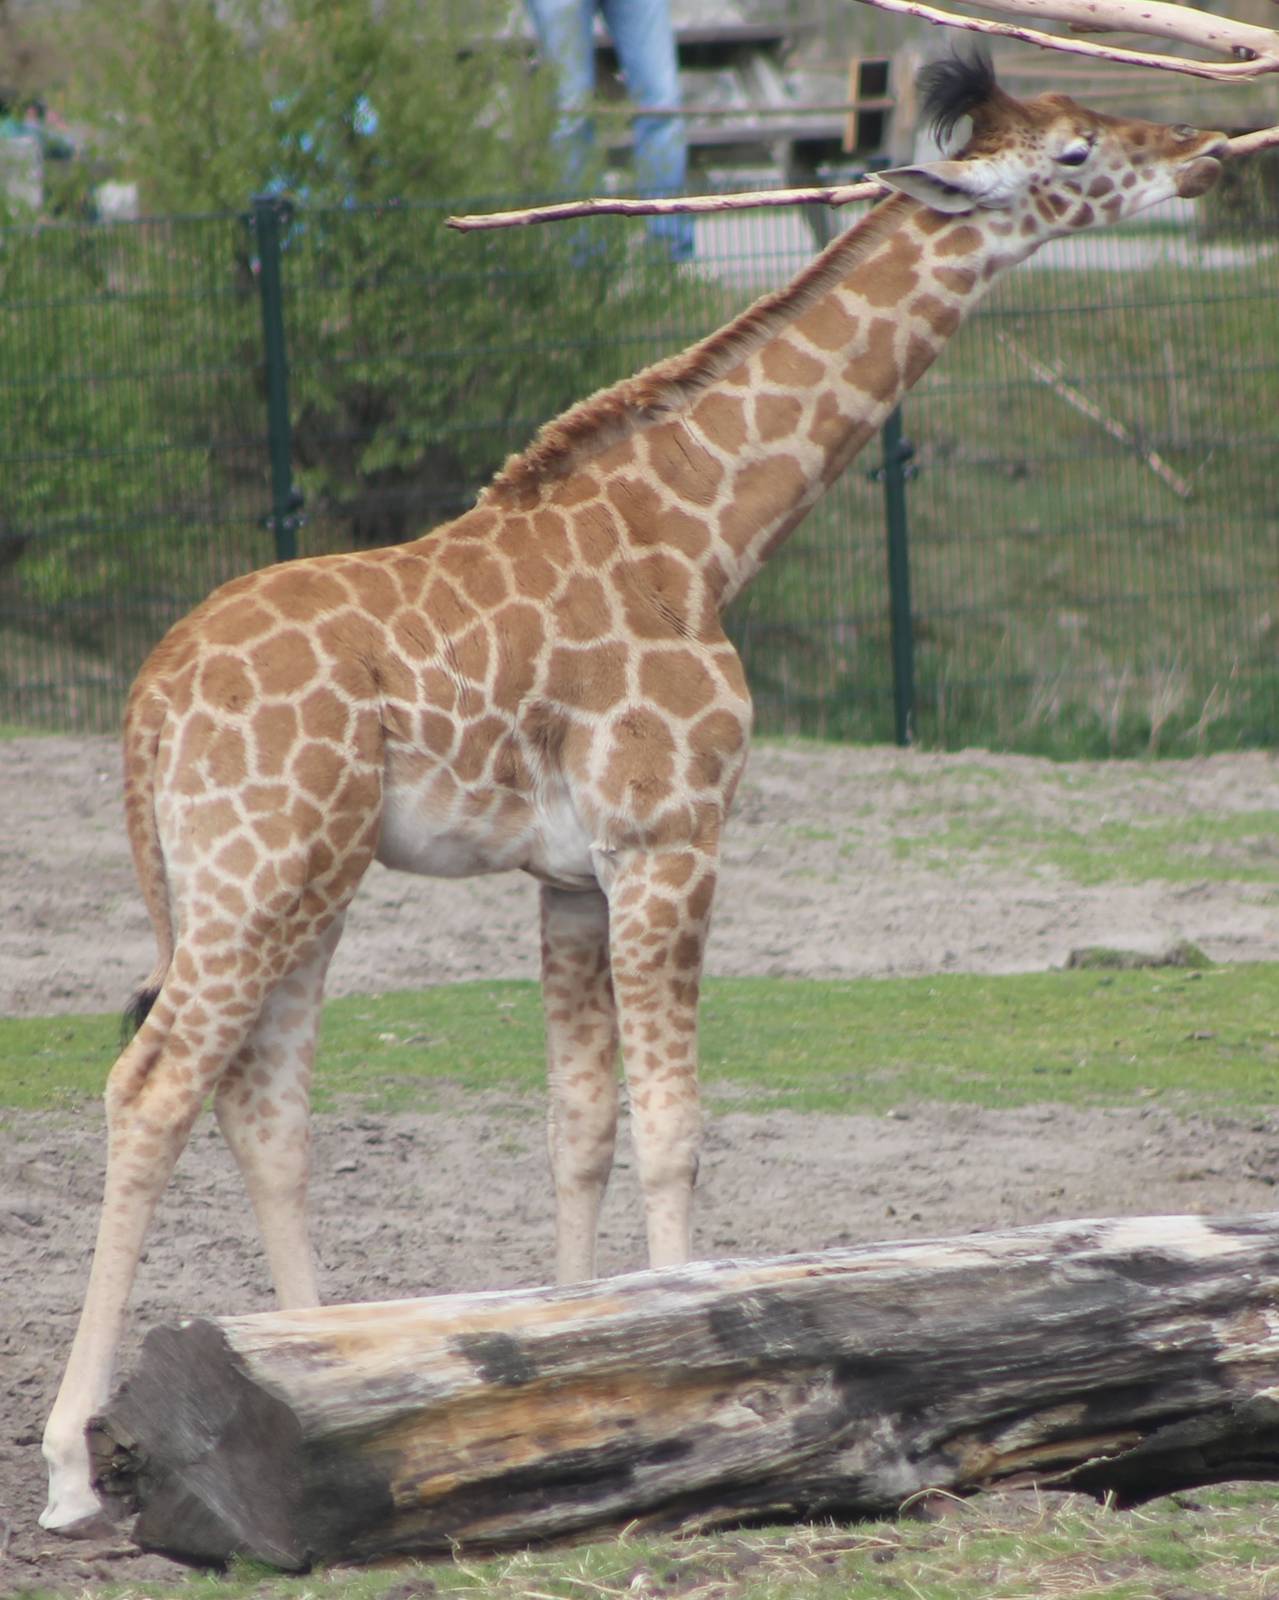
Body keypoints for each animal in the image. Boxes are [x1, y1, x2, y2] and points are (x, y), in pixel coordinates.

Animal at [41, 53, 1227, 1531]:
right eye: (1073, 152)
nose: (1205, 156)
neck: (703, 538)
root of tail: (148, 700)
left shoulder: (568, 876)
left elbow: (579, 1125)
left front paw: (564, 1361)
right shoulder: (671, 835)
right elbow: (673, 1127)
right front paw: (692, 1373)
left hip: (301, 879)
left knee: (263, 1106)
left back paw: (307, 1364)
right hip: (258, 869)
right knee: (151, 1089)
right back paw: (73, 1467)